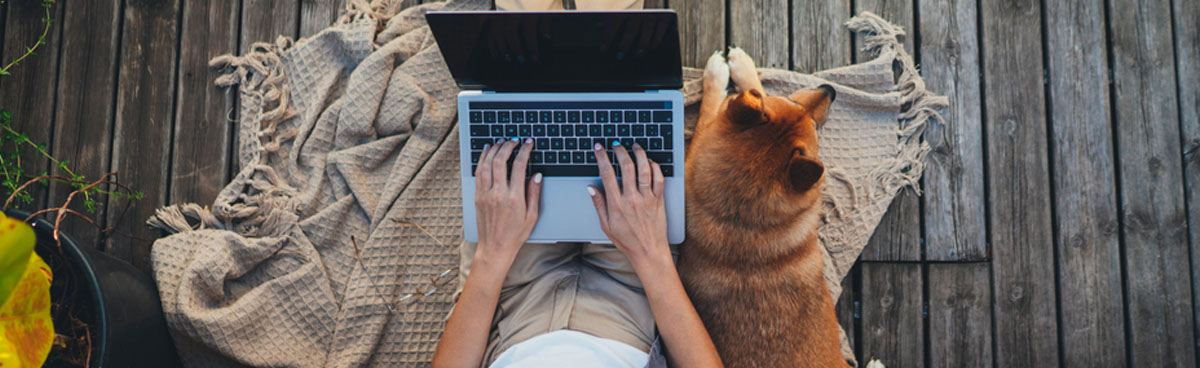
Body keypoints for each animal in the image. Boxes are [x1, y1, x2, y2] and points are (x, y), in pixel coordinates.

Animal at [681, 49, 849, 368]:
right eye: (795, 104)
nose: (831, 90)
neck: (741, 221)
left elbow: (720, 102)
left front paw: (729, 72)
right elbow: (741, 95)